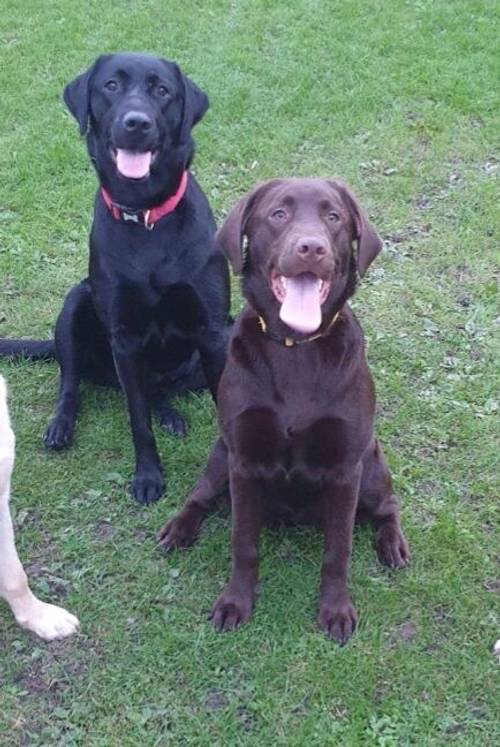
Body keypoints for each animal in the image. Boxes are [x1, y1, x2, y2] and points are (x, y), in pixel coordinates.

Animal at [0, 55, 230, 506]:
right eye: (110, 86)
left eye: (162, 90)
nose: (136, 122)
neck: (146, 218)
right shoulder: (124, 339)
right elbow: (137, 420)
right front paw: (148, 477)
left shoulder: (213, 330)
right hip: (75, 303)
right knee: (71, 382)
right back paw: (61, 425)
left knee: (162, 388)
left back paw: (170, 414)